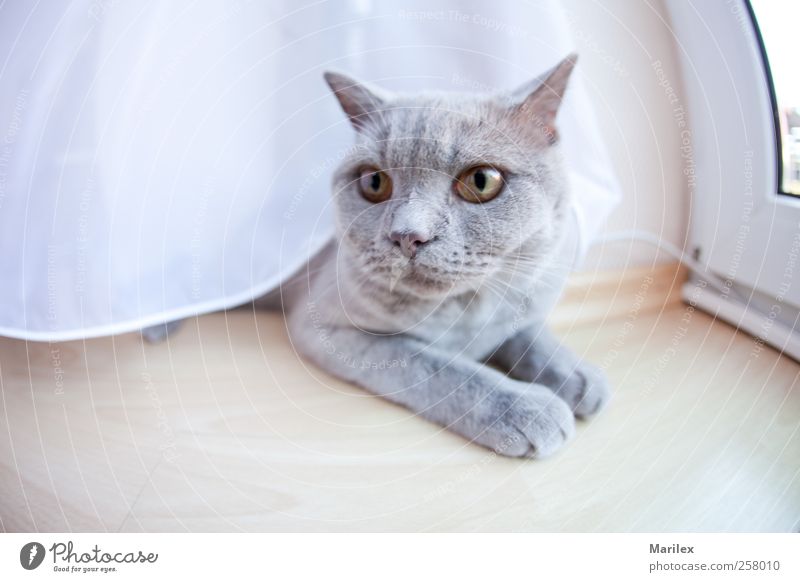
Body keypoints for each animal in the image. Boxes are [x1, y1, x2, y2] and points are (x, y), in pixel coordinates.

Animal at [286, 54, 608, 458]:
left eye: (481, 181)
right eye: (373, 182)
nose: (408, 235)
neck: (469, 312)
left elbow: (531, 335)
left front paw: (576, 374)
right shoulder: (327, 328)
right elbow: (438, 365)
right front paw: (526, 407)